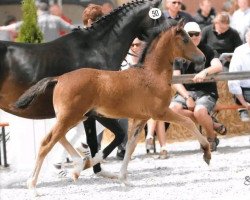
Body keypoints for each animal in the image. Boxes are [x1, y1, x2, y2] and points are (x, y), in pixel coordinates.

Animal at [15, 19, 211, 192]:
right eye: (185, 39)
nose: (202, 58)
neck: (152, 74)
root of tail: (60, 78)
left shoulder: (140, 119)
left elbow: (130, 147)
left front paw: (123, 178)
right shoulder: (161, 112)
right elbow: (189, 122)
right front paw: (206, 153)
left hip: (74, 117)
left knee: (58, 138)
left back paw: (78, 166)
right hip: (70, 117)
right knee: (46, 144)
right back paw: (33, 186)